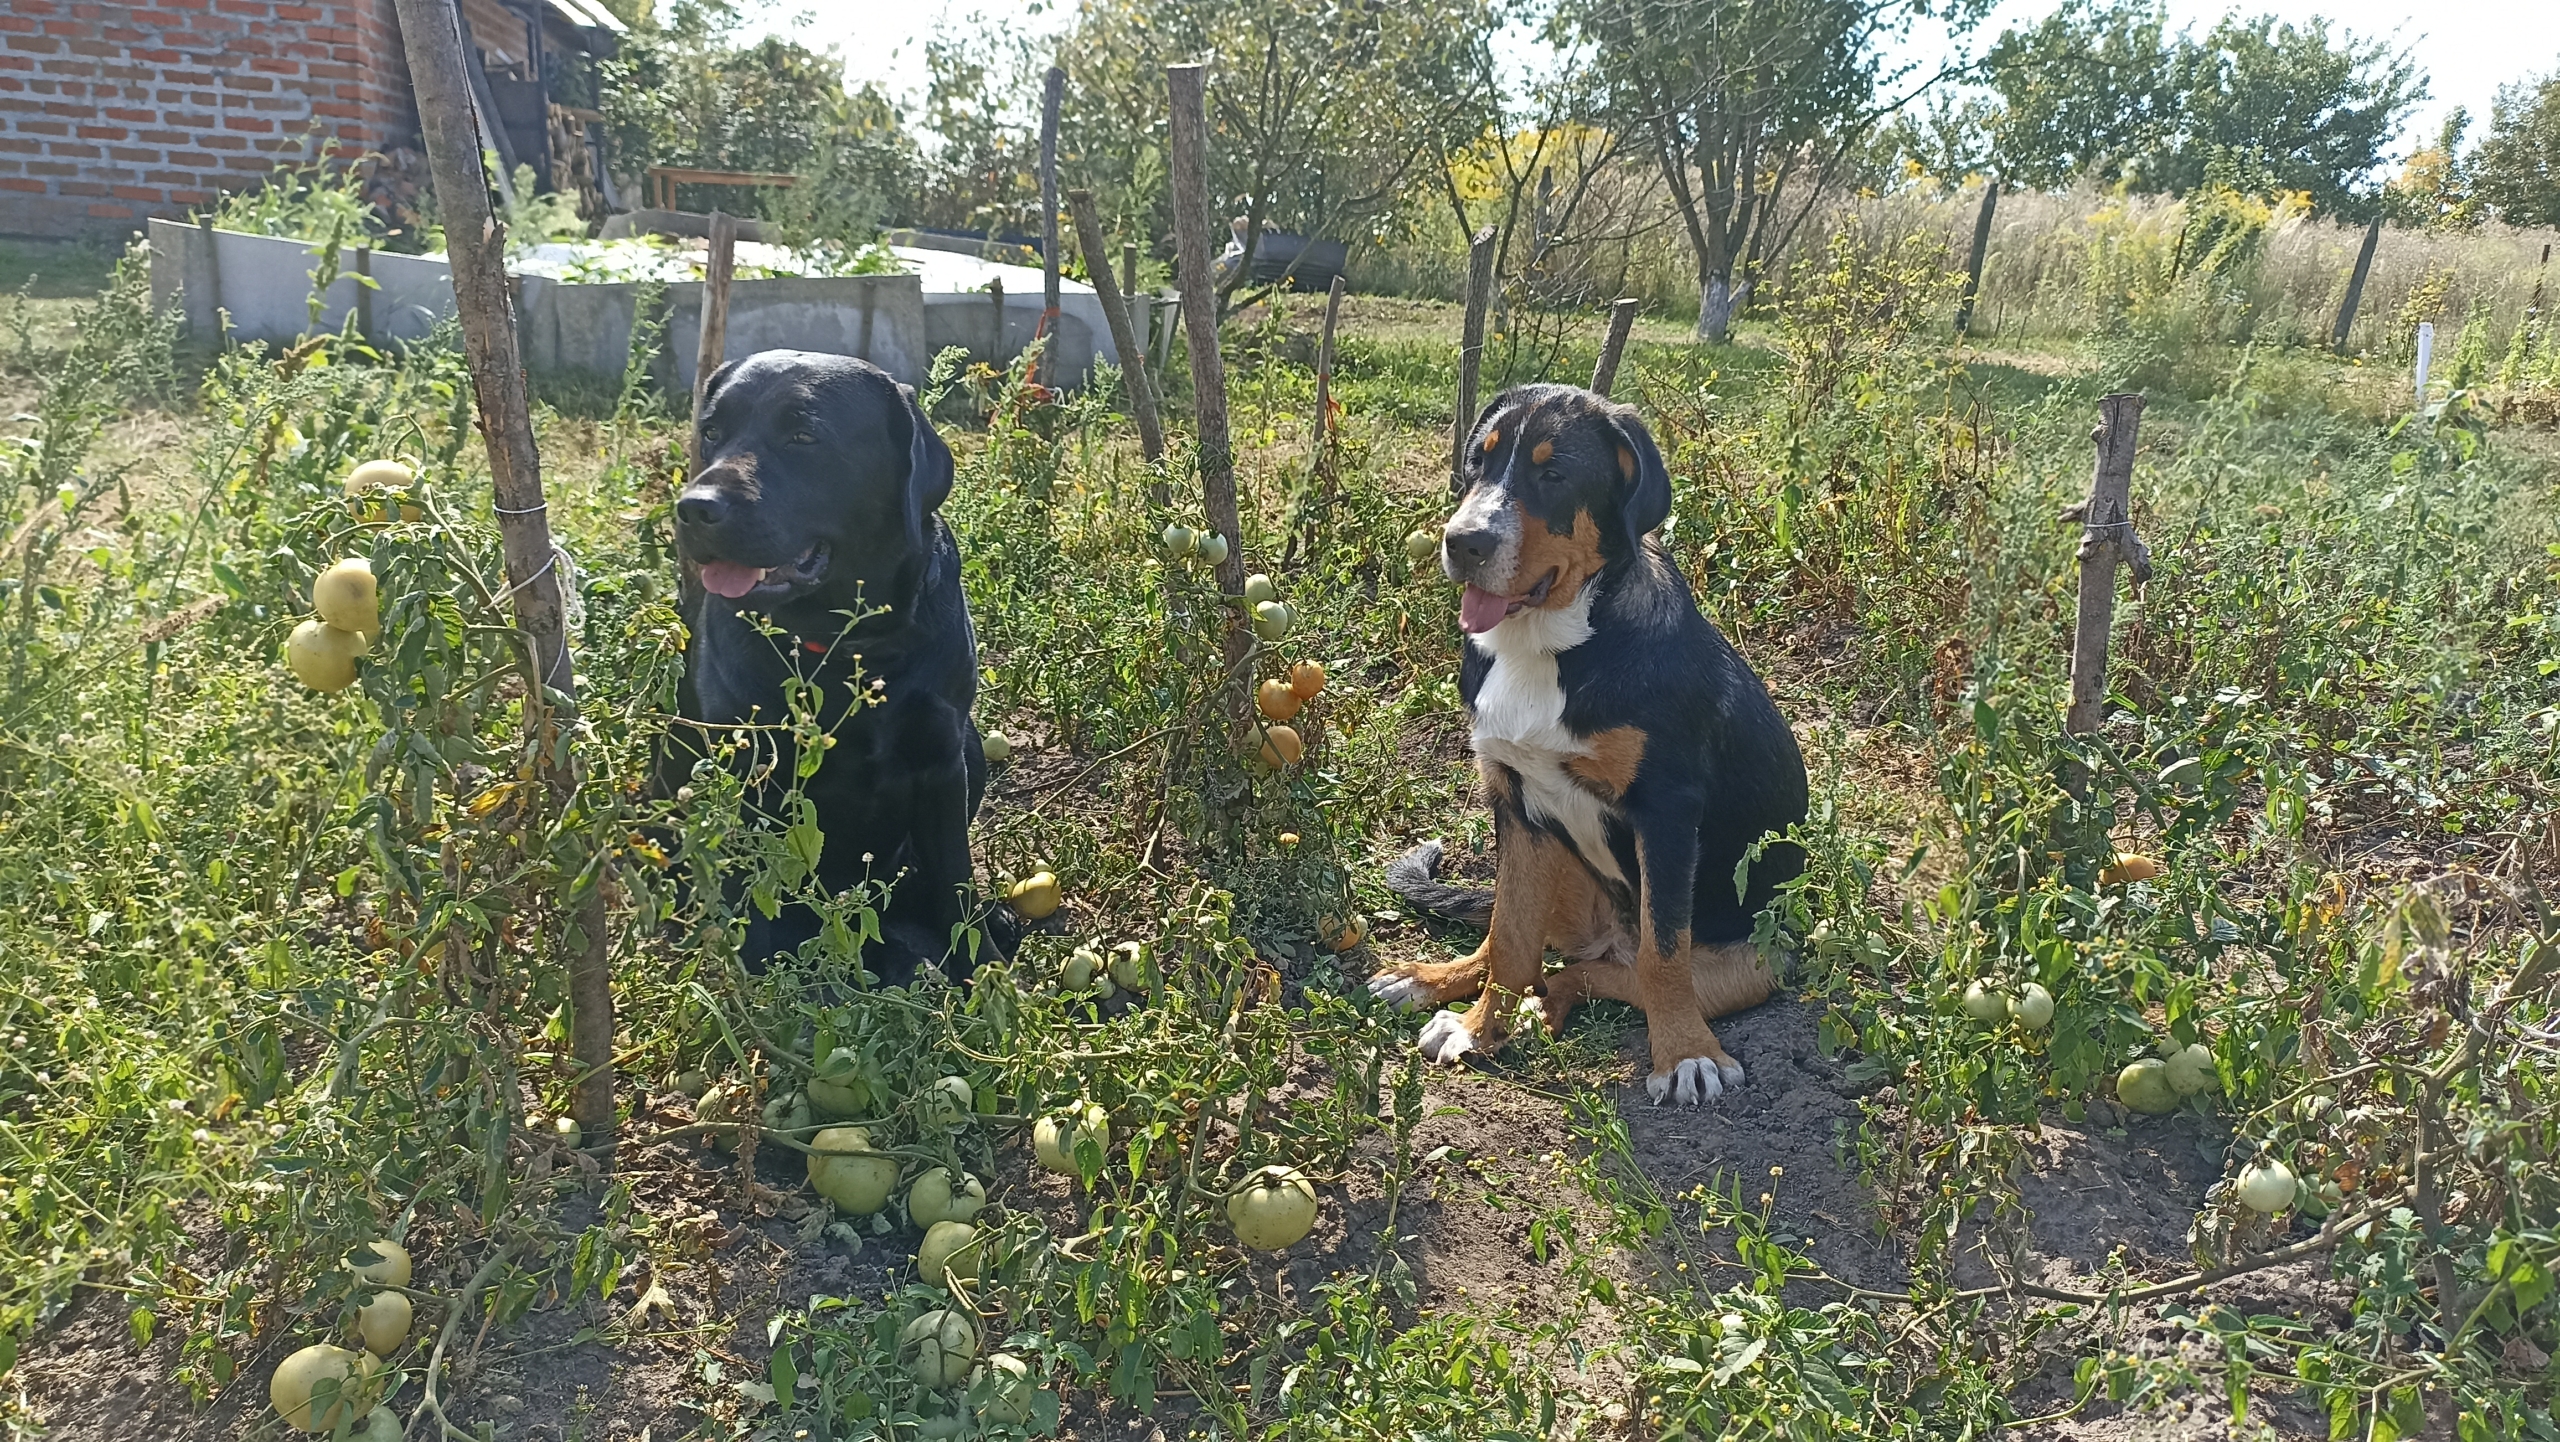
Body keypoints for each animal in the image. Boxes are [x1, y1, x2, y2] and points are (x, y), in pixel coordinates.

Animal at [665, 353, 1003, 983]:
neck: (850, 649)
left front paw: (985, 970)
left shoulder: (943, 759)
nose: (694, 509)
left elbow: (956, 882)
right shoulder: (750, 770)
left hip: (971, 748)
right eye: (712, 433)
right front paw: (767, 977)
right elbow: (756, 888)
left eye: (803, 436)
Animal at [1372, 381, 1812, 1106]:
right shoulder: (1517, 800)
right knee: (1521, 947)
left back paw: (1544, 1007)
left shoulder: (1667, 811)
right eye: (1478, 463)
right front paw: (1476, 1029)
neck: (1547, 644)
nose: (1463, 542)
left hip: (1756, 959)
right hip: (1557, 863)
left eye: (1554, 475)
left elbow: (1664, 955)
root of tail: (1607, 937)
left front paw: (1685, 1055)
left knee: (1608, 974)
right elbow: (1510, 936)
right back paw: (1435, 982)